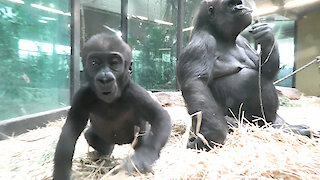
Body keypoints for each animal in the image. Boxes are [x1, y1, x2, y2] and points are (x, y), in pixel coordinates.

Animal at [53, 33, 171, 179]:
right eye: (94, 63)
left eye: (114, 63)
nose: (105, 79)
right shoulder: (81, 97)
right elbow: (70, 132)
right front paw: (60, 174)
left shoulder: (135, 93)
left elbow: (159, 116)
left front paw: (144, 156)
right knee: (92, 136)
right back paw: (103, 155)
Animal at [176, 0, 312, 150]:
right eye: (230, 5)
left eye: (239, 2)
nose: (241, 7)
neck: (220, 35)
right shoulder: (200, 45)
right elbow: (196, 83)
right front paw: (211, 135)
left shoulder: (243, 41)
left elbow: (264, 71)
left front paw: (268, 36)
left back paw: (294, 129)